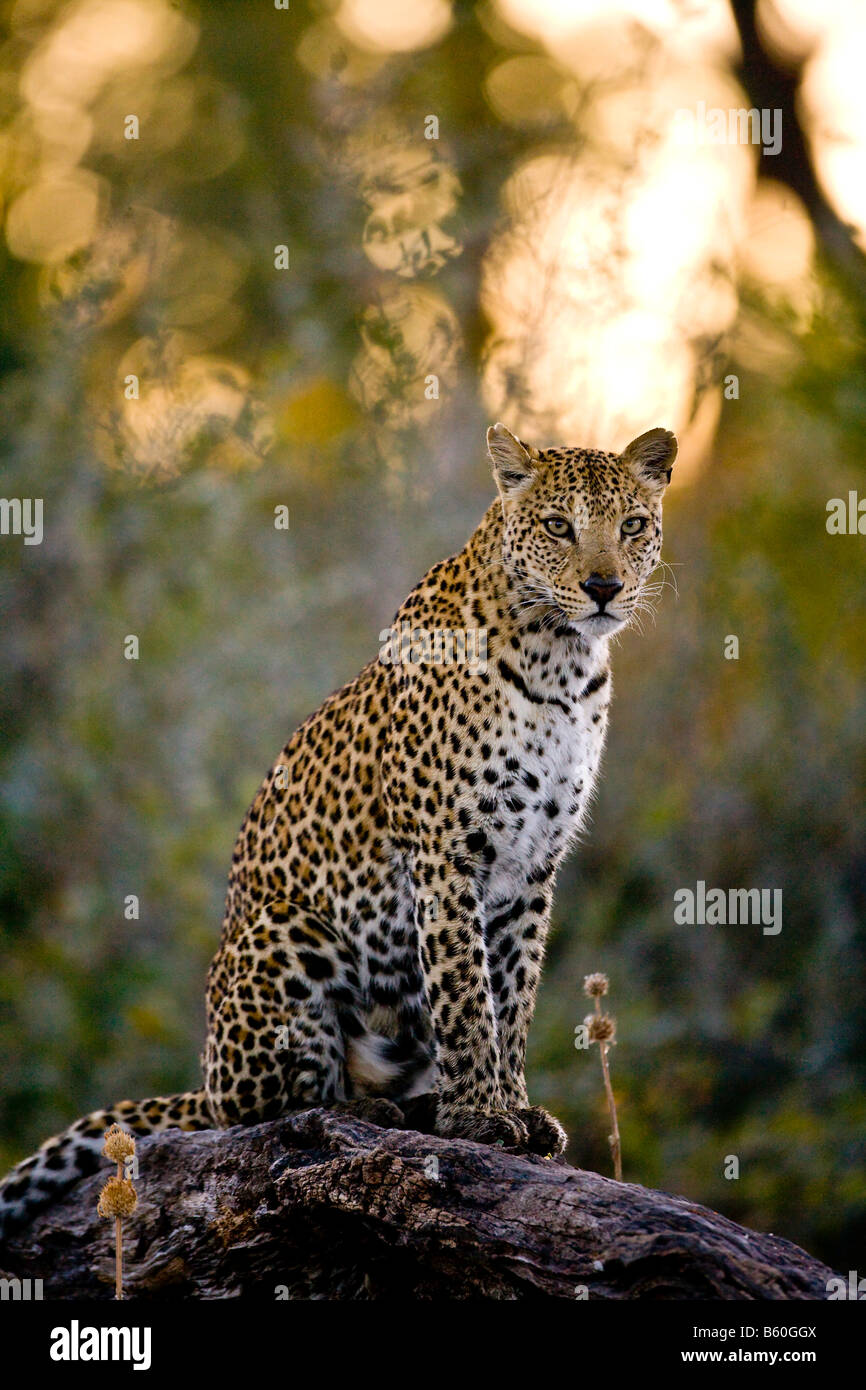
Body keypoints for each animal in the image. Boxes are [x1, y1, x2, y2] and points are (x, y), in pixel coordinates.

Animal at [0, 417, 678, 1234]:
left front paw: (517, 1109)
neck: (563, 665)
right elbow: (466, 996)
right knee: (277, 1110)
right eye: (557, 526)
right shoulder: (446, 856)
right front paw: (480, 1117)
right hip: (286, 934)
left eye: (632, 525)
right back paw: (383, 1114)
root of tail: (206, 1078)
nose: (604, 588)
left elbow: (512, 997)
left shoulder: (531, 871)